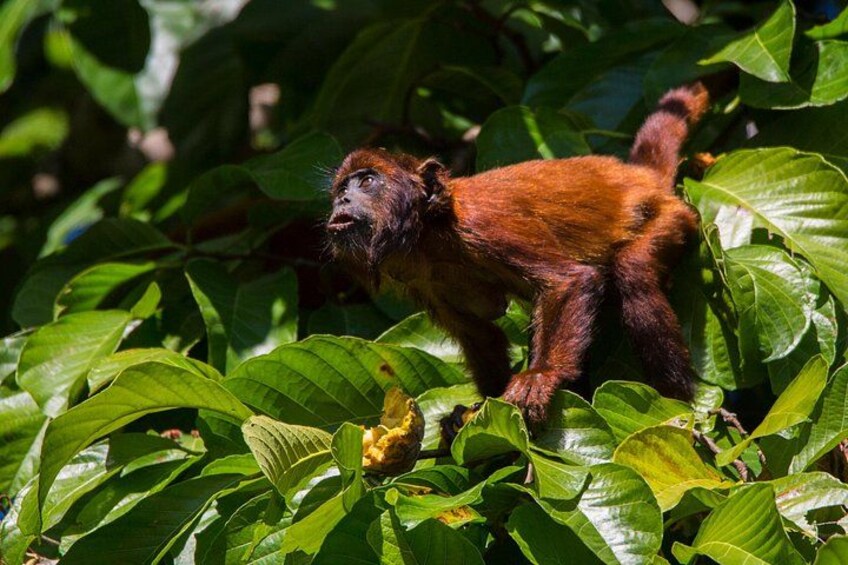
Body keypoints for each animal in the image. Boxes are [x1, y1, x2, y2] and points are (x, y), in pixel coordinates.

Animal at [326, 84, 708, 426]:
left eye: (367, 182)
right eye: (342, 187)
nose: (342, 199)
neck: (431, 235)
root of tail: (641, 177)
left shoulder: (486, 225)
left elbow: (569, 280)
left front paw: (542, 375)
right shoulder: (421, 279)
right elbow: (479, 331)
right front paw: (480, 409)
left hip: (673, 218)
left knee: (633, 273)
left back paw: (677, 402)